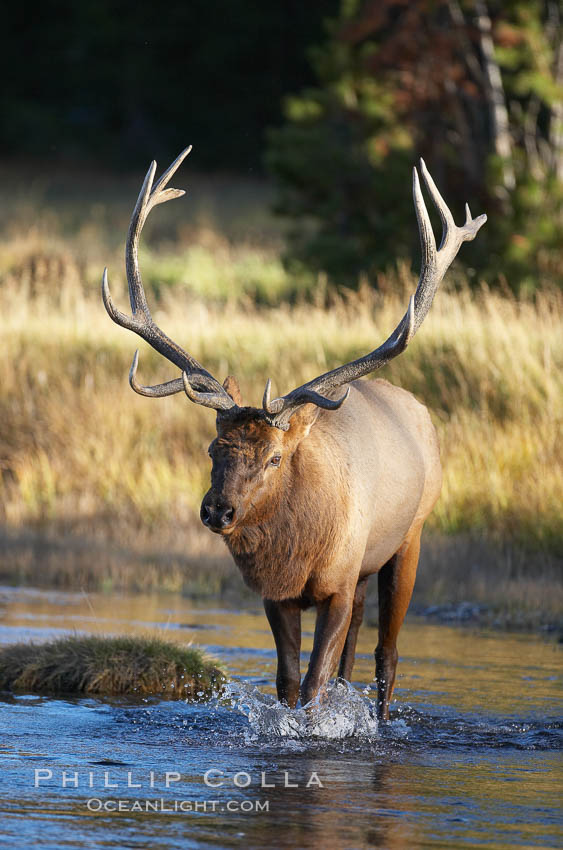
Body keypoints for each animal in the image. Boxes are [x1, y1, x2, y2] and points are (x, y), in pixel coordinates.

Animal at [102, 147, 484, 716]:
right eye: (212, 448)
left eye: (275, 457)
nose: (218, 511)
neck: (298, 554)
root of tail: (418, 408)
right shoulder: (276, 595)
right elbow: (285, 681)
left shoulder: (337, 585)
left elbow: (312, 684)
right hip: (366, 566)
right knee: (355, 652)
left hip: (409, 538)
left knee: (386, 656)